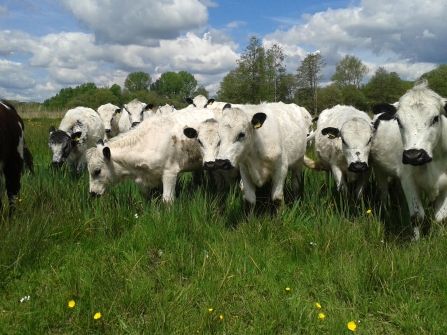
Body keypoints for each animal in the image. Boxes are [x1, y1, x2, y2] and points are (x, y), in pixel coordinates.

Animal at [372, 80, 447, 240]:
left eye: (435, 118)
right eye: (398, 121)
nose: (413, 155)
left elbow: (441, 218)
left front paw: (440, 237)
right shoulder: (408, 179)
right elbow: (416, 216)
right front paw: (415, 241)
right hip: (379, 171)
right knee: (384, 192)